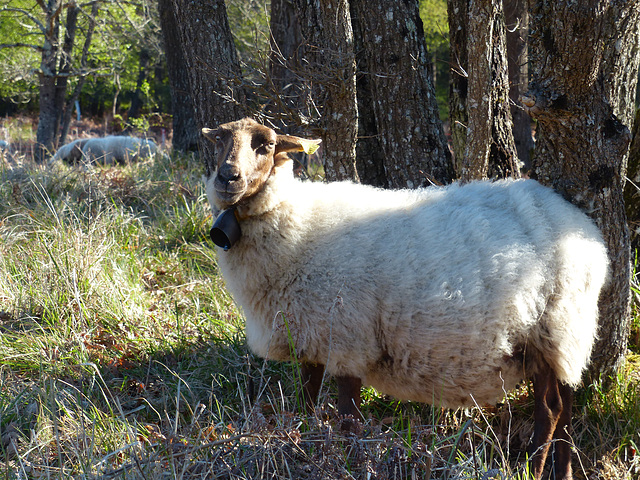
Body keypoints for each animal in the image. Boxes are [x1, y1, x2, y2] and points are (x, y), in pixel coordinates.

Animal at [202, 117, 608, 480]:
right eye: (219, 139)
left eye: (267, 144)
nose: (227, 178)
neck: (297, 226)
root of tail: (583, 227)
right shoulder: (311, 339)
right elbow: (307, 405)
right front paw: (304, 449)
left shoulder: (349, 340)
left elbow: (348, 419)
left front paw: (351, 465)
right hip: (561, 337)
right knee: (566, 405)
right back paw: (563, 473)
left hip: (555, 326)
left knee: (550, 410)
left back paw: (533, 470)